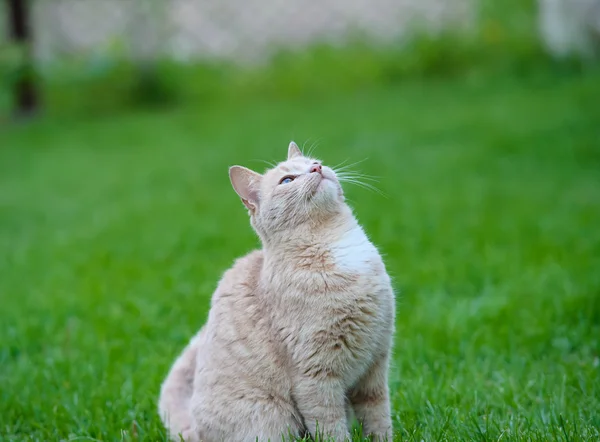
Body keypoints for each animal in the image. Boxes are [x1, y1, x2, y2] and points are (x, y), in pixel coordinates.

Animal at [157, 142, 396, 442]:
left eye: (315, 161)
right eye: (287, 181)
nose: (317, 168)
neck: (335, 244)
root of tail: (194, 434)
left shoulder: (376, 365)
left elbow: (378, 418)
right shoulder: (315, 377)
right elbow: (331, 428)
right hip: (273, 420)